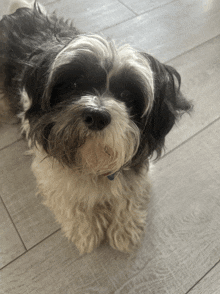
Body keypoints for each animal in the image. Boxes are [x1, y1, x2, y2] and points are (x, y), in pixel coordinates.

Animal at [0, 0, 192, 255]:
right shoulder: (50, 172)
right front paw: (86, 230)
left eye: (127, 96)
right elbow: (69, 199)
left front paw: (125, 229)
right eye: (74, 85)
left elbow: (128, 194)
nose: (97, 115)